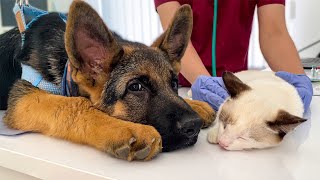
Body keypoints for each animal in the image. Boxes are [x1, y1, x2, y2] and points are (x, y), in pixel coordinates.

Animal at [0, 0, 215, 161]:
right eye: (136, 87)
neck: (65, 64)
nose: (194, 124)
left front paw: (195, 104)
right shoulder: (23, 98)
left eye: (174, 84)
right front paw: (126, 129)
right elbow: (75, 104)